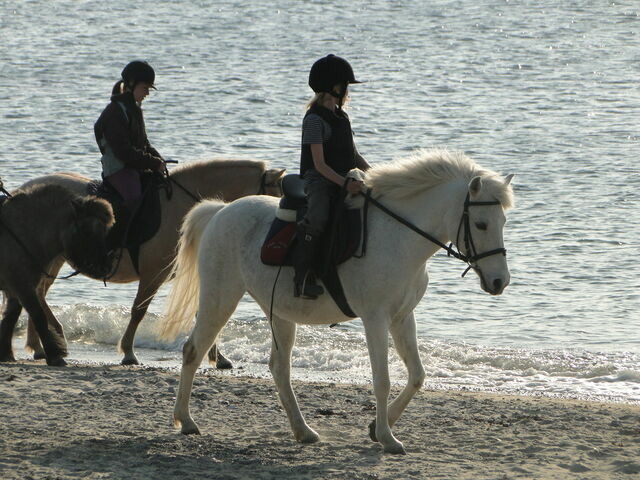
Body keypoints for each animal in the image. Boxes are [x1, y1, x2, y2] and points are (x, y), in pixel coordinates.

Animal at [0, 183, 115, 364]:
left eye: (104, 231)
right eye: (87, 230)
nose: (105, 267)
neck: (25, 233)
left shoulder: (16, 289)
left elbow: (10, 318)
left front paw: (5, 353)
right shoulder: (23, 287)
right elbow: (38, 316)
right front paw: (55, 354)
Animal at [16, 159, 284, 366]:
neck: (179, 206)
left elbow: (203, 314)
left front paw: (218, 358)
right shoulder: (153, 274)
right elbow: (139, 311)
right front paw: (128, 352)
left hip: (53, 259)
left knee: (37, 292)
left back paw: (38, 346)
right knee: (36, 292)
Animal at [160, 149, 516, 454]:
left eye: (502, 223)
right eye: (481, 224)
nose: (500, 282)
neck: (400, 236)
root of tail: (220, 210)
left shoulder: (402, 317)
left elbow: (417, 374)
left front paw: (376, 428)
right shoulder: (375, 319)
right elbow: (382, 380)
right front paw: (387, 438)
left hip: (280, 314)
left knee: (279, 368)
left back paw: (303, 431)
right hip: (220, 298)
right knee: (193, 350)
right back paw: (186, 421)